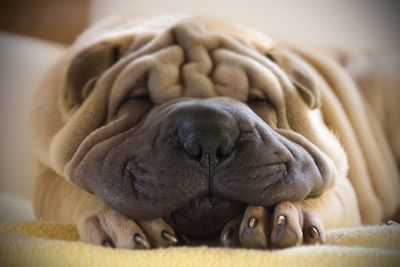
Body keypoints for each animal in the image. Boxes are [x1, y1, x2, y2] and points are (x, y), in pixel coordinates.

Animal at [31, 14, 400, 249]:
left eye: (258, 99)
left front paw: (273, 214)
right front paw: (120, 218)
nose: (209, 138)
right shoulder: (46, 177)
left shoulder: (340, 181)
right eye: (139, 98)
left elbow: (316, 191)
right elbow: (72, 188)